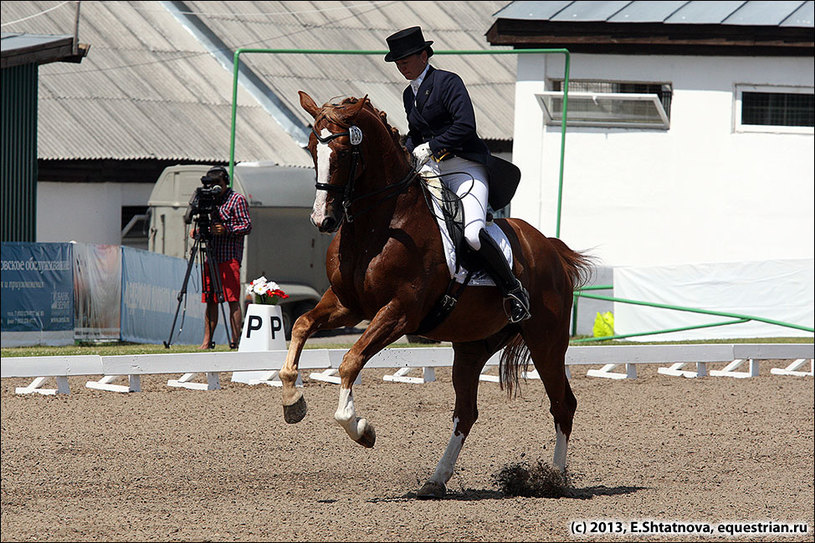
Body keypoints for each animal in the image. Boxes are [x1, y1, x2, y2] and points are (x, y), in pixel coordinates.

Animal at [278, 91, 588, 500]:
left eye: (344, 153)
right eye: (314, 149)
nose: (322, 221)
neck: (380, 225)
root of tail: (552, 248)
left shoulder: (398, 312)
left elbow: (349, 361)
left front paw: (361, 429)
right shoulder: (348, 305)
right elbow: (300, 325)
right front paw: (292, 402)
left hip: (546, 341)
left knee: (563, 404)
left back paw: (555, 479)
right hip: (472, 347)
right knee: (466, 412)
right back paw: (436, 480)